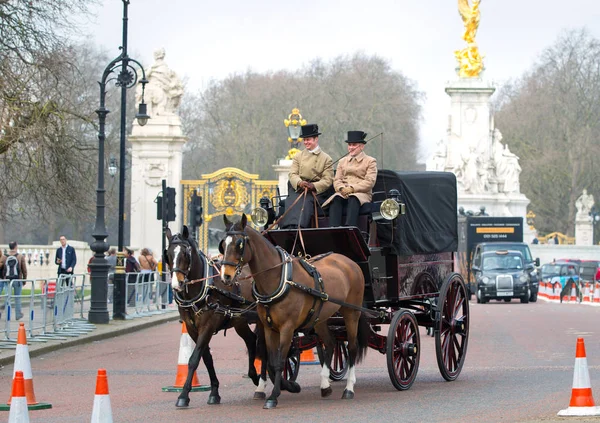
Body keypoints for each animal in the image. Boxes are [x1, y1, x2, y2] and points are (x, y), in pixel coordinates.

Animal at [166, 227, 264, 410]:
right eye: (168, 254)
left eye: (185, 254)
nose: (176, 285)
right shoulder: (192, 329)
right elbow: (206, 358)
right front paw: (214, 392)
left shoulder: (208, 325)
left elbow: (194, 359)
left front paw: (183, 396)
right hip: (240, 321)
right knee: (251, 340)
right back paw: (254, 376)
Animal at [220, 217, 370, 410]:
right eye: (223, 244)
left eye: (239, 244)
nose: (226, 276)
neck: (279, 279)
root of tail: (350, 262)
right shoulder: (269, 328)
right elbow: (272, 359)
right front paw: (282, 387)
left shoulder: (287, 328)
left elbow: (279, 360)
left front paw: (274, 396)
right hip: (320, 318)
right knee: (330, 342)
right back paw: (325, 386)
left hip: (351, 312)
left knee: (352, 347)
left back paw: (349, 388)